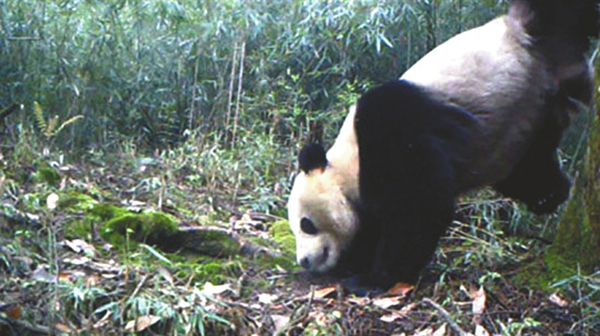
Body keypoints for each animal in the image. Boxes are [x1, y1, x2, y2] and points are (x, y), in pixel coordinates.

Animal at [286, 0, 600, 290]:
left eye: (306, 224)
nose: (304, 260)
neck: (348, 162)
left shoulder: (389, 131)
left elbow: (419, 205)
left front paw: (371, 279)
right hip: (530, 118)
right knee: (530, 165)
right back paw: (550, 194)